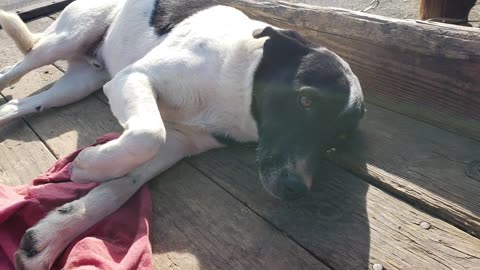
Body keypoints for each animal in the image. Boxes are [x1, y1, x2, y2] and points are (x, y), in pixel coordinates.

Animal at [0, 0, 364, 268]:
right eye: (306, 100)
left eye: (337, 141)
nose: (296, 190)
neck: (238, 89)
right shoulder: (133, 78)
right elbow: (148, 135)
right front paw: (90, 163)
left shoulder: (179, 143)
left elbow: (121, 185)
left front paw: (56, 233)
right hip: (63, 40)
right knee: (13, 71)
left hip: (78, 84)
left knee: (19, 105)